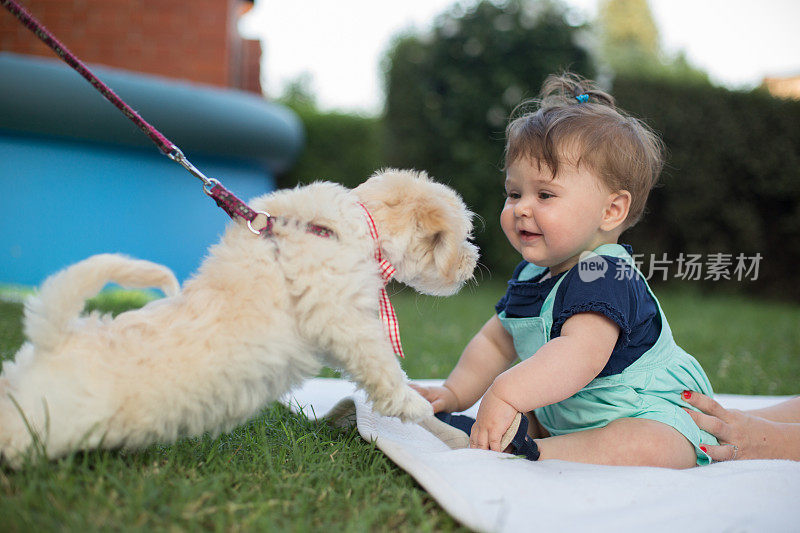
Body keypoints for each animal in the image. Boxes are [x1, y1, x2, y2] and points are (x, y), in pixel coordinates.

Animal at [0, 169, 478, 466]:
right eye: (462, 237)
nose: (473, 264)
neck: (356, 225)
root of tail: (53, 340)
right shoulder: (342, 317)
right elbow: (383, 365)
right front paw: (416, 403)